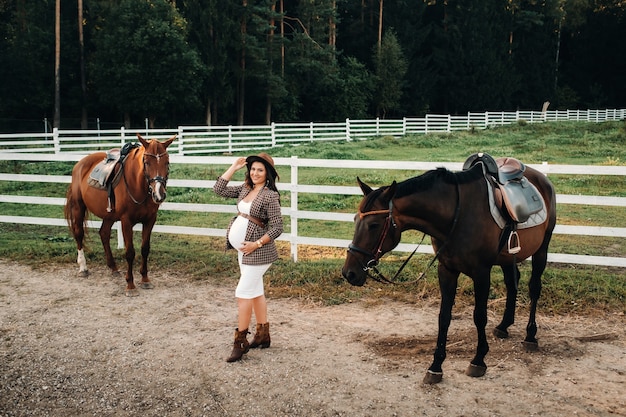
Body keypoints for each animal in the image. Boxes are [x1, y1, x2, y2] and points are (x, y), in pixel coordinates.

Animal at [63, 133, 174, 296]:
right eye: (146, 162)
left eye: (167, 163)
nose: (159, 194)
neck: (137, 186)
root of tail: (80, 164)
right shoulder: (126, 221)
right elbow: (130, 252)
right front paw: (130, 285)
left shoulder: (150, 220)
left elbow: (145, 249)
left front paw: (145, 280)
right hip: (78, 207)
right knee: (79, 234)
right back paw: (83, 268)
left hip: (108, 215)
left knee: (104, 233)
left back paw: (113, 268)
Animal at [342, 158, 556, 384]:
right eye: (355, 220)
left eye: (374, 225)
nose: (349, 272)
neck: (456, 215)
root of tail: (541, 179)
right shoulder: (446, 270)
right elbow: (444, 317)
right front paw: (436, 366)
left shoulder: (481, 273)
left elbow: (479, 316)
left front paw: (478, 360)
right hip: (507, 256)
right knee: (512, 283)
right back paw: (504, 326)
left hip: (542, 249)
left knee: (534, 288)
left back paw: (530, 336)